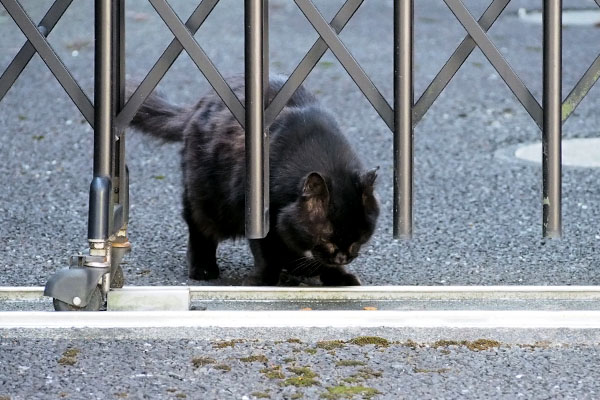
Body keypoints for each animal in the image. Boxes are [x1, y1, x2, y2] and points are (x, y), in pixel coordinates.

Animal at [130, 77, 380, 284]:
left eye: (360, 236)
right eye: (327, 238)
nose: (343, 258)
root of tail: (200, 103)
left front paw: (337, 276)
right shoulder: (257, 212)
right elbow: (266, 251)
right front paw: (263, 280)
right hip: (207, 200)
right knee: (199, 229)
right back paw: (203, 269)